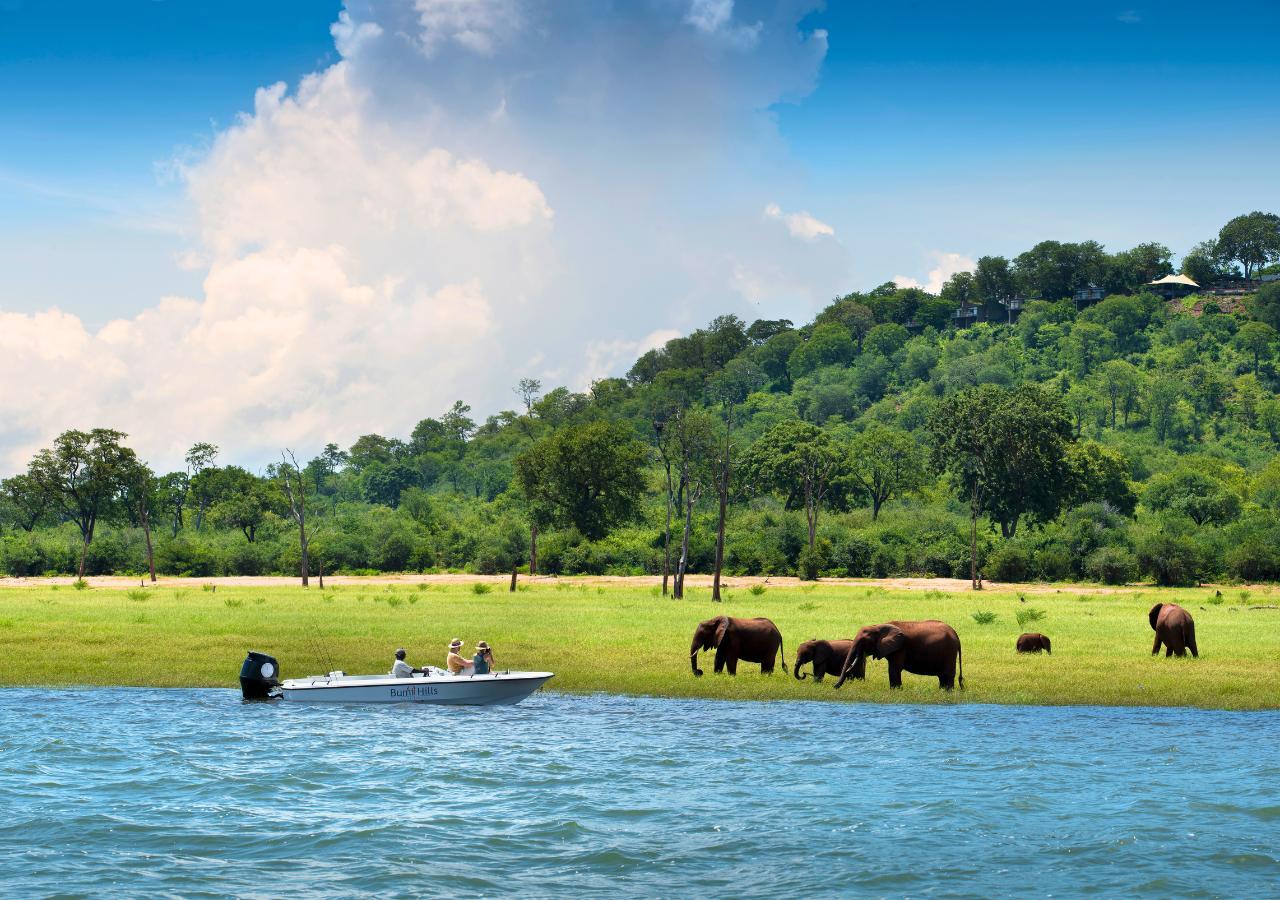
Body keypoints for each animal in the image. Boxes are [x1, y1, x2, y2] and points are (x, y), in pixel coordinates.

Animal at [833, 620, 963, 690]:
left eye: (864, 641)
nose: (834, 686)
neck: (879, 626)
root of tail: (956, 634)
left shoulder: (900, 647)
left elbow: (894, 669)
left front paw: (895, 691)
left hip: (949, 651)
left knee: (948, 675)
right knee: (942, 676)